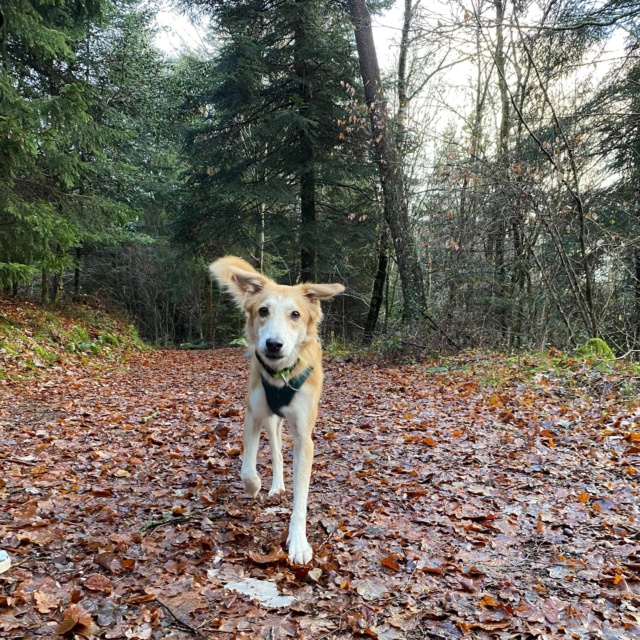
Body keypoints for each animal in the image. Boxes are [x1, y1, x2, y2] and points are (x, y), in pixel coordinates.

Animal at [210, 258, 344, 564]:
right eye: (263, 311)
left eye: (295, 314)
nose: (273, 344)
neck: (281, 374)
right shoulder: (253, 413)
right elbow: (247, 468)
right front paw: (254, 486)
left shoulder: (304, 437)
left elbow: (301, 497)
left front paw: (298, 542)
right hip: (271, 421)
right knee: (277, 453)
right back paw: (274, 485)